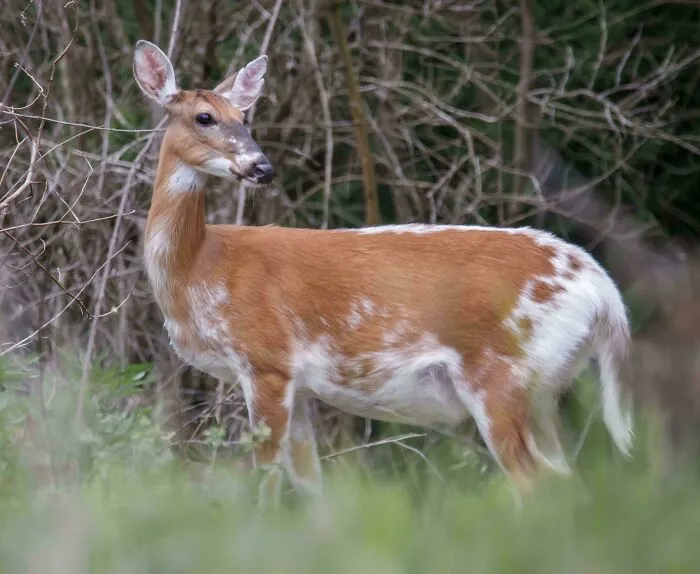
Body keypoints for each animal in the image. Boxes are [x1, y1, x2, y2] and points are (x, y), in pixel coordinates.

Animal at [132, 39, 634, 505]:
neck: (202, 265)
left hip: (501, 375)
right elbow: (311, 486)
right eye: (204, 117)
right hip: (545, 389)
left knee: (538, 481)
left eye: (244, 117)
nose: (262, 167)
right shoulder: (298, 386)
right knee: (569, 478)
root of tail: (602, 290)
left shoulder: (266, 360)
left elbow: (267, 481)